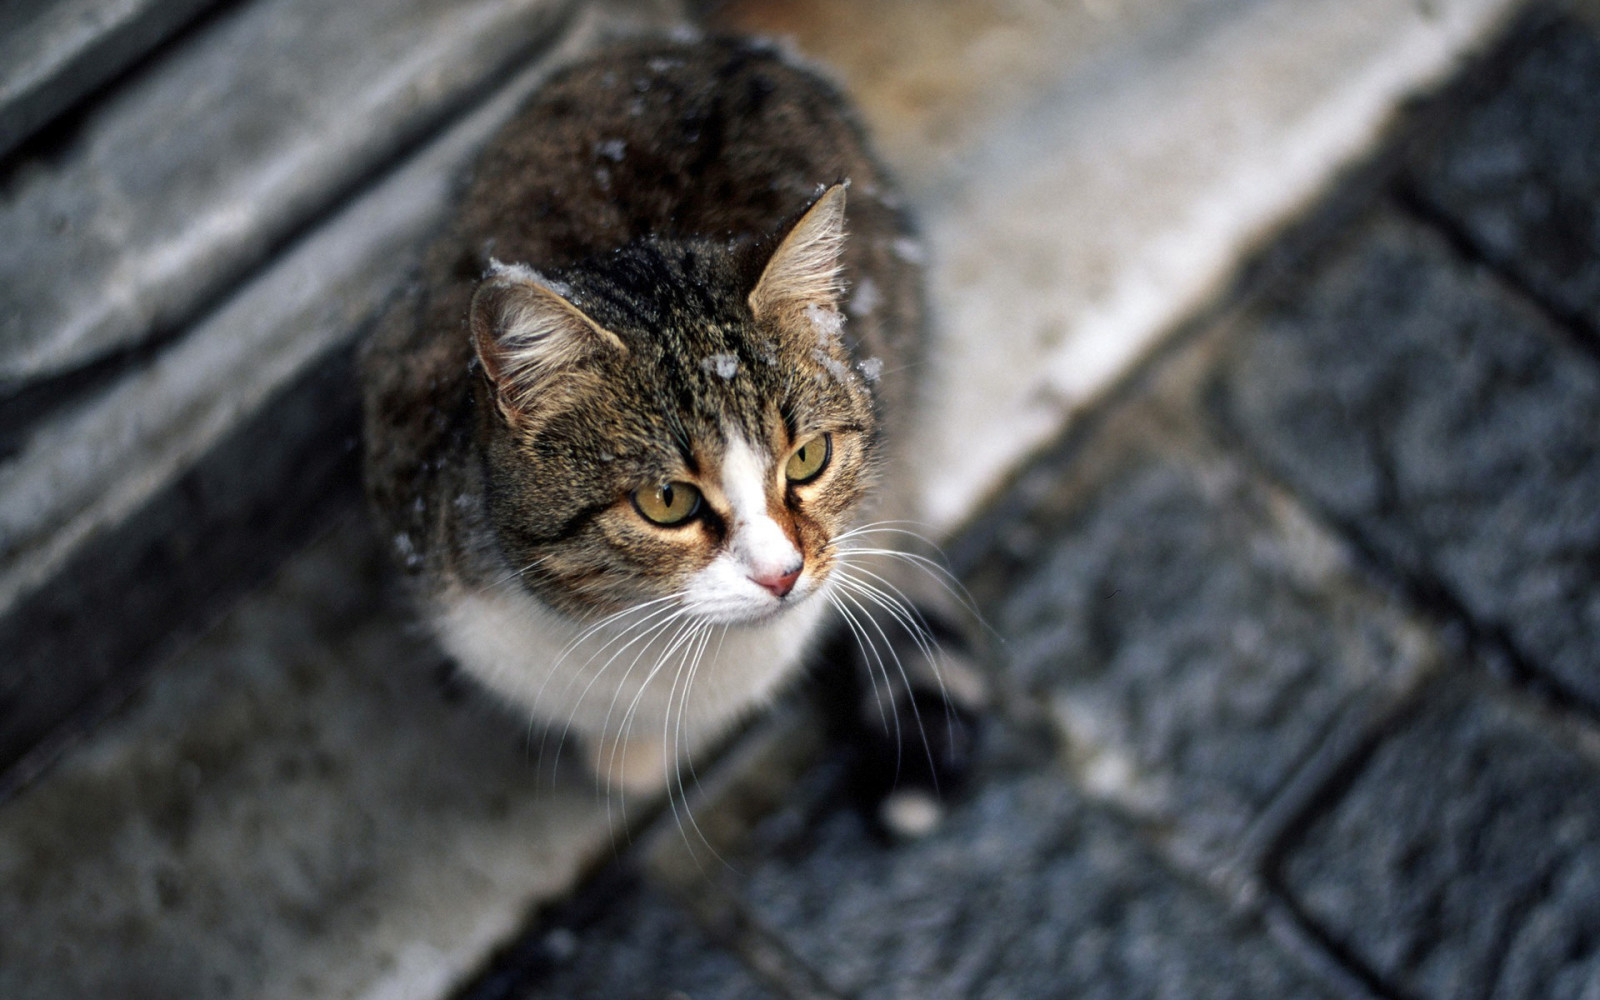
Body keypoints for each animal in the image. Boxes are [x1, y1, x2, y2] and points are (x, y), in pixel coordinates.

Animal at [364, 37, 979, 812]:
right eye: (667, 501)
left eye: (808, 458)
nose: (782, 574)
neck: (641, 641)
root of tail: (727, 47)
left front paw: (638, 758)